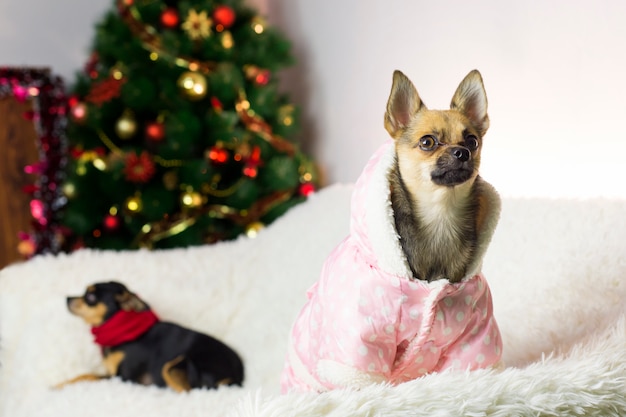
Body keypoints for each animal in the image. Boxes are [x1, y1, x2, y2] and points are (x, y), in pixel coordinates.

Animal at [59, 282, 244, 392]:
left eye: (90, 297)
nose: (67, 298)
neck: (120, 331)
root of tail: (238, 379)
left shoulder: (122, 378)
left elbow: (87, 375)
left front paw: (59, 385)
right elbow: (85, 375)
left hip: (172, 366)